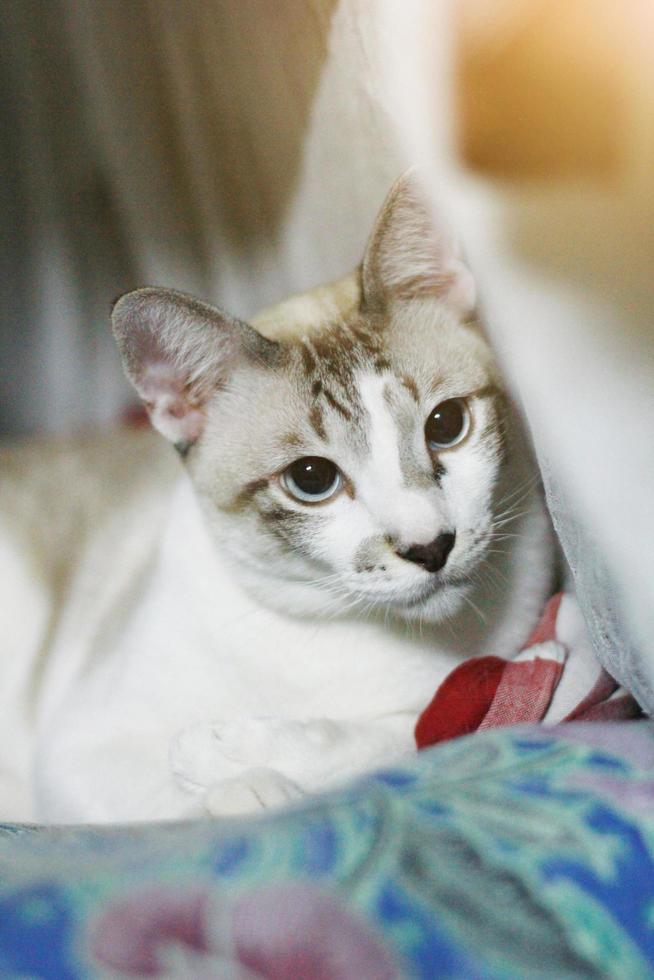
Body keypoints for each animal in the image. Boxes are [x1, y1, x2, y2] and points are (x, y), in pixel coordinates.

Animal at [0, 174, 556, 820]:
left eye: (445, 425)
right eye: (312, 479)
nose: (430, 548)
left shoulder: (474, 684)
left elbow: (411, 733)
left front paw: (234, 755)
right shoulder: (78, 749)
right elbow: (163, 806)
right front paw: (238, 784)